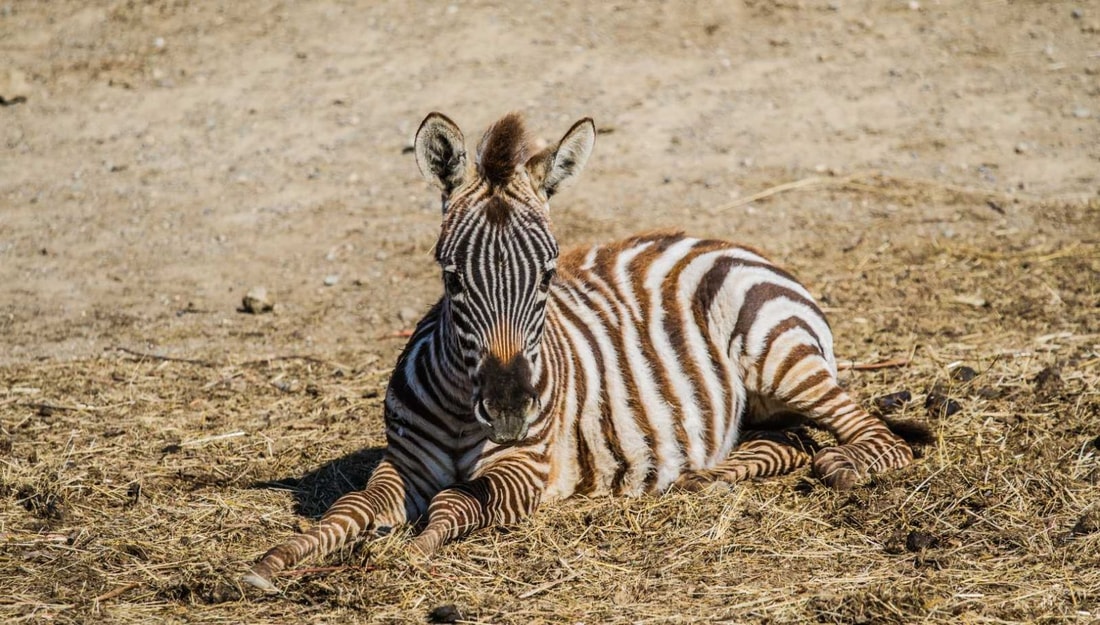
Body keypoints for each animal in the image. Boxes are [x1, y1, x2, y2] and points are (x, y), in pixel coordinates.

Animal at [243, 113, 919, 589]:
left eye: (547, 276)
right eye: (452, 279)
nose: (509, 408)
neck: (464, 406)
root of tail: (725, 241)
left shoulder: (526, 469)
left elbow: (458, 501)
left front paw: (412, 548)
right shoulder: (402, 463)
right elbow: (350, 506)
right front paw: (273, 561)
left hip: (778, 355)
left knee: (874, 434)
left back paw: (845, 465)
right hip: (760, 404)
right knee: (793, 439)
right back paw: (706, 474)